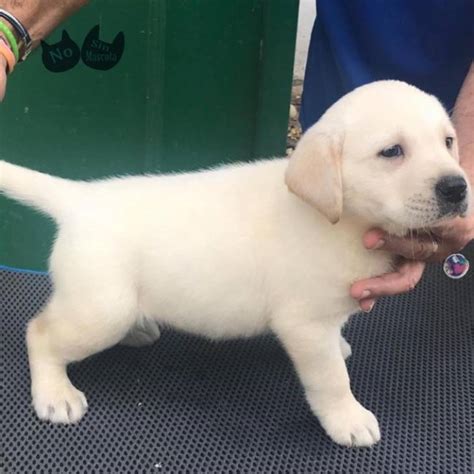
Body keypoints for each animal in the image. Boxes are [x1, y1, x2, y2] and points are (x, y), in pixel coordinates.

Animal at [0, 79, 470, 446]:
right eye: (392, 151)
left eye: (448, 142)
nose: (457, 187)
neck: (339, 218)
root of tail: (80, 199)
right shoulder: (304, 324)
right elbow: (332, 379)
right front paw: (347, 419)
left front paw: (340, 346)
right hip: (101, 309)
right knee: (40, 332)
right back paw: (54, 393)